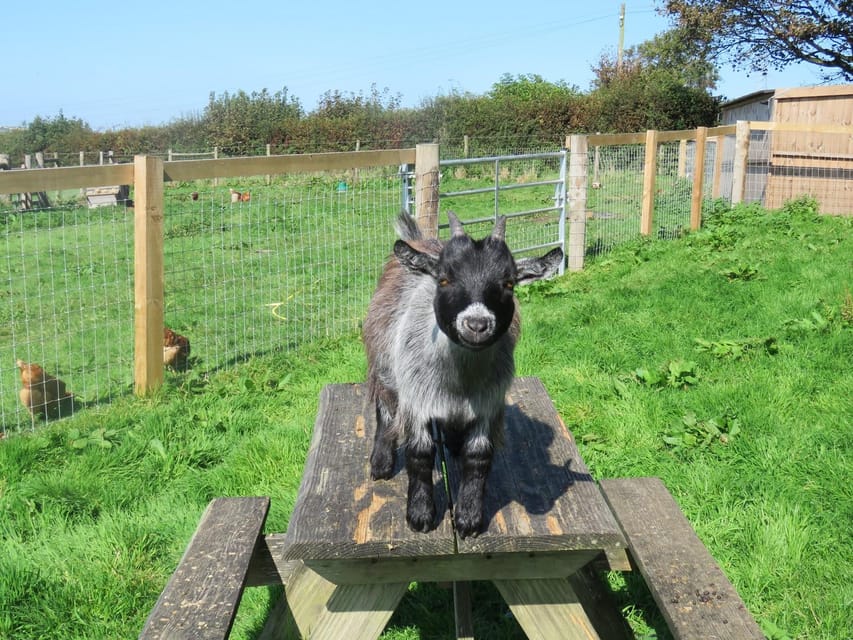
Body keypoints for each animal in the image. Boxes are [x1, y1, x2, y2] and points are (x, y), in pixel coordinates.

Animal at [362, 212, 564, 536]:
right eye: (444, 279)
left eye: (509, 283)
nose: (477, 325)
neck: (458, 384)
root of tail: (420, 240)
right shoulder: (416, 399)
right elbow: (419, 453)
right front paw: (420, 515)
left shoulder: (488, 404)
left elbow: (479, 456)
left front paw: (469, 517)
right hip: (381, 361)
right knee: (385, 407)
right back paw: (381, 462)